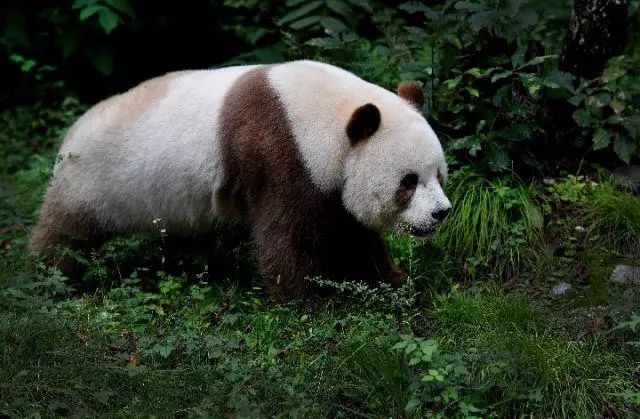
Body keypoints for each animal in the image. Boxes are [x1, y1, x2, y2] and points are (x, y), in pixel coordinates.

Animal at [31, 60, 450, 300]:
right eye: (408, 182)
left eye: (439, 175)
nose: (441, 214)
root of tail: (70, 135)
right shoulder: (279, 151)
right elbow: (287, 234)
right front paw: (307, 302)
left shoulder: (329, 177)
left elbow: (352, 233)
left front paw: (396, 282)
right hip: (94, 179)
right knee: (66, 233)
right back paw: (48, 278)